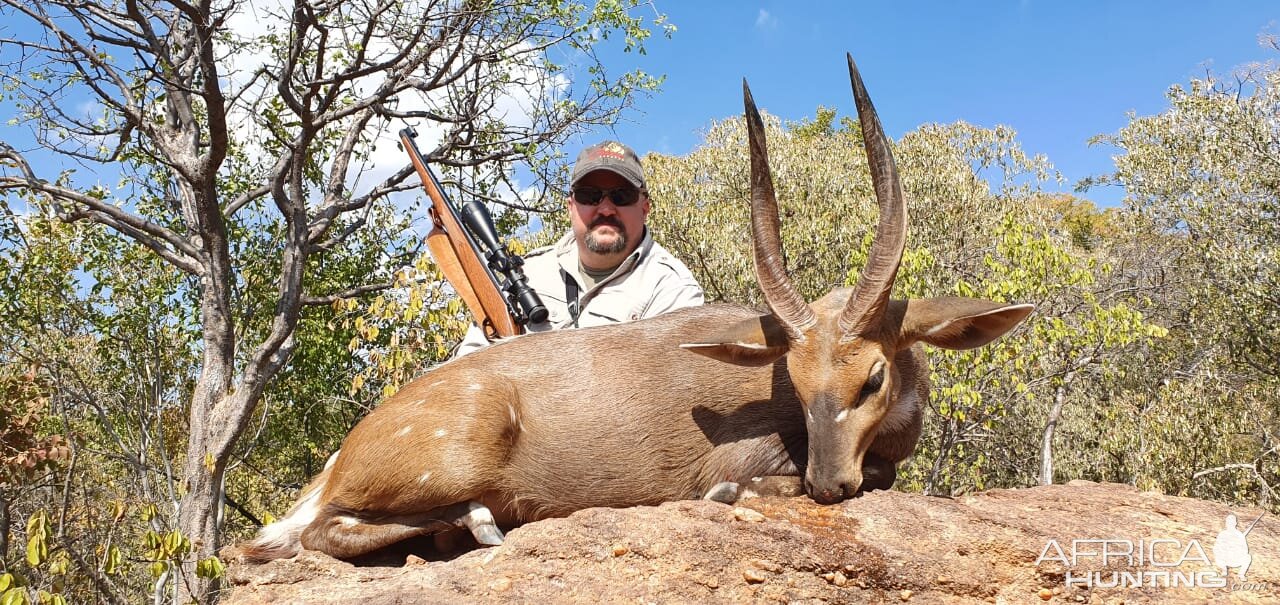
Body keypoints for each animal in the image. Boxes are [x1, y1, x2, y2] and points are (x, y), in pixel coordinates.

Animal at [244, 56, 1034, 560]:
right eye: (796, 379)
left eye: (872, 377)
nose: (827, 482)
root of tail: (339, 458)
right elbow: (745, 485)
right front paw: (735, 494)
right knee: (309, 535)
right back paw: (479, 525)